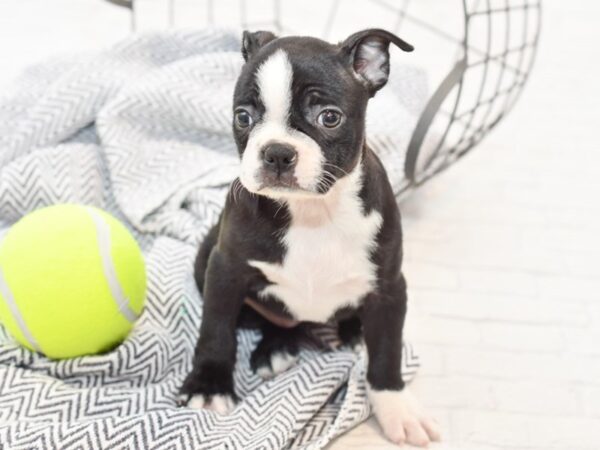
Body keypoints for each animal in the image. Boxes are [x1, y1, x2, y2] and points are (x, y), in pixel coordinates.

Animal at [178, 29, 440, 448]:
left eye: (329, 117)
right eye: (243, 117)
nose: (277, 153)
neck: (312, 213)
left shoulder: (388, 287)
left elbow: (387, 352)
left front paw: (397, 408)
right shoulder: (225, 269)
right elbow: (216, 329)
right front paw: (209, 387)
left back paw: (352, 332)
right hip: (206, 257)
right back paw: (275, 348)